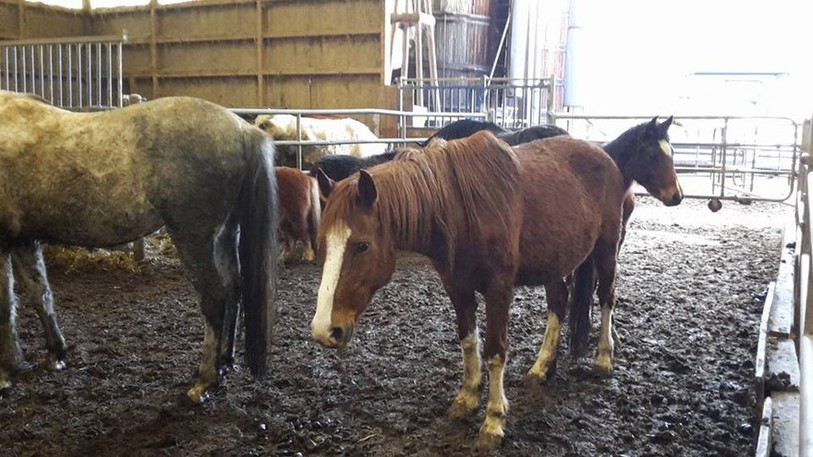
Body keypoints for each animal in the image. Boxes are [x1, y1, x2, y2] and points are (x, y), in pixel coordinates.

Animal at [0, 91, 279, 404]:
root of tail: (242, 128)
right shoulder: (24, 240)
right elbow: (41, 296)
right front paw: (55, 356)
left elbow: (5, 307)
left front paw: (7, 373)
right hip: (225, 236)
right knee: (233, 289)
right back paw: (225, 363)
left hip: (194, 238)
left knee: (215, 298)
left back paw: (205, 381)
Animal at [310, 119, 682, 450]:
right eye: (323, 242)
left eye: (361, 245)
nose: (325, 330)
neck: (459, 206)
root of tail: (603, 156)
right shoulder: (456, 286)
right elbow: (468, 342)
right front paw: (466, 398)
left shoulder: (499, 289)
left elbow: (495, 351)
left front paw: (492, 421)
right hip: (555, 261)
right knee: (559, 302)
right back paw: (542, 367)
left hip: (607, 248)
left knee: (606, 296)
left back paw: (604, 359)